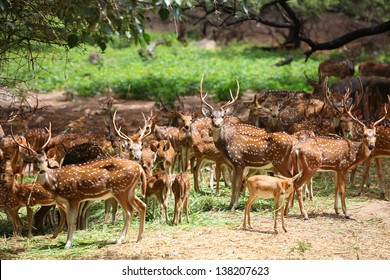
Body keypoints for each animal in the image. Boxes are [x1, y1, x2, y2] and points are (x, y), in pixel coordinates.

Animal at [12, 123, 148, 248]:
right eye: (35, 161)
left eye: (46, 160)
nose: (42, 170)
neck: (55, 183)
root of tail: (139, 168)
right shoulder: (66, 200)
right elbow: (68, 219)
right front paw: (67, 241)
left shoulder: (73, 196)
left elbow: (72, 220)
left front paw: (68, 244)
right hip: (130, 190)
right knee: (142, 205)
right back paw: (139, 237)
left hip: (120, 189)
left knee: (130, 211)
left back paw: (119, 239)